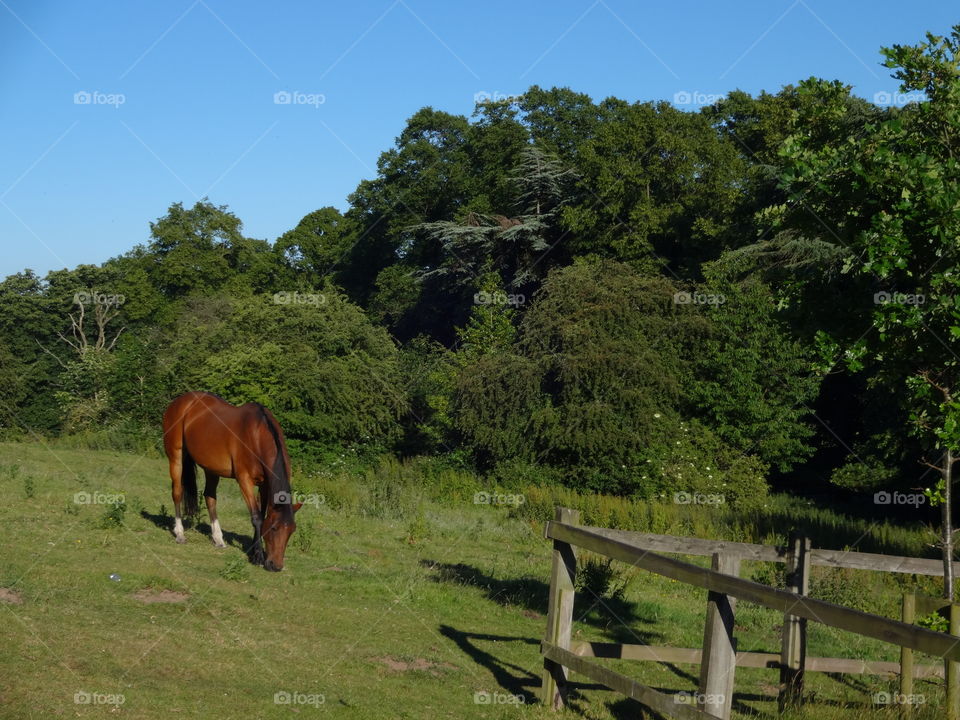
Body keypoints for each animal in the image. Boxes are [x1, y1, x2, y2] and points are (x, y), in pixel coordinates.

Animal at [162, 390, 300, 572]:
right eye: (274, 528)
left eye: (291, 531)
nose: (276, 566)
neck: (257, 435)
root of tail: (180, 401)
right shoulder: (245, 480)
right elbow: (256, 517)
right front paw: (257, 556)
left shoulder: (265, 485)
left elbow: (262, 514)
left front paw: (255, 551)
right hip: (176, 457)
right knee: (177, 492)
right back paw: (179, 534)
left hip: (211, 468)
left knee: (210, 498)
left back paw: (218, 539)